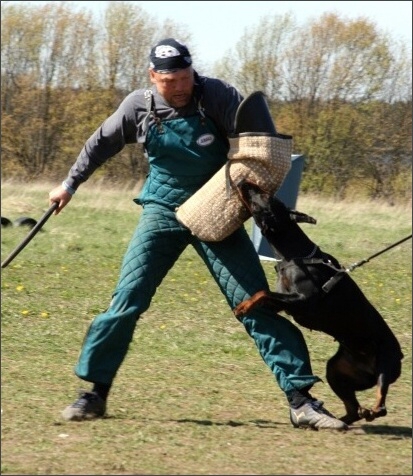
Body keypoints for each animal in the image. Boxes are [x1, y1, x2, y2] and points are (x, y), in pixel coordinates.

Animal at [233, 178, 404, 424]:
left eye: (264, 195)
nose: (242, 180)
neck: (294, 255)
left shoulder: (304, 303)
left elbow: (263, 293)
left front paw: (243, 307)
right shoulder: (284, 302)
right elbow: (262, 294)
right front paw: (245, 304)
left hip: (385, 363)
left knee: (382, 404)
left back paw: (370, 412)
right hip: (337, 371)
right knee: (353, 409)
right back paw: (343, 419)